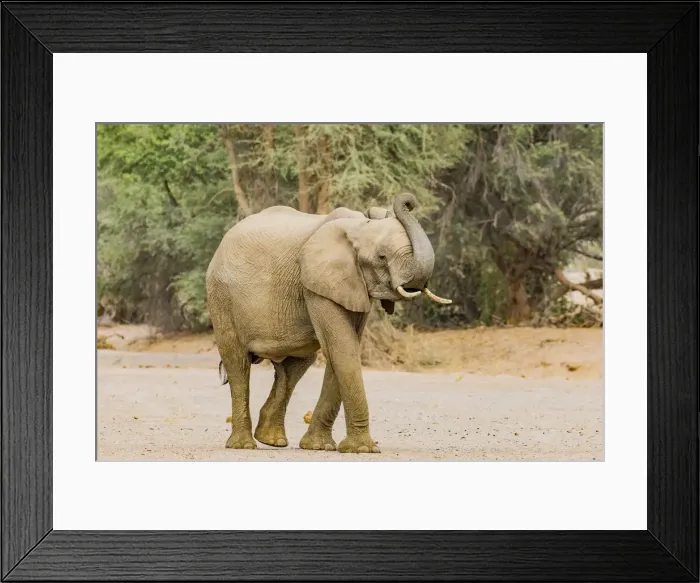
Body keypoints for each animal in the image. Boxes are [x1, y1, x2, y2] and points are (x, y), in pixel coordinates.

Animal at [205, 192, 451, 453]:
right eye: (382, 258)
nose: (408, 201)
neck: (358, 225)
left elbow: (343, 349)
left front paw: (319, 447)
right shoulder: (316, 282)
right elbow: (342, 347)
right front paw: (362, 450)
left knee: (294, 366)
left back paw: (272, 440)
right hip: (221, 297)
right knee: (238, 362)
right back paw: (244, 445)